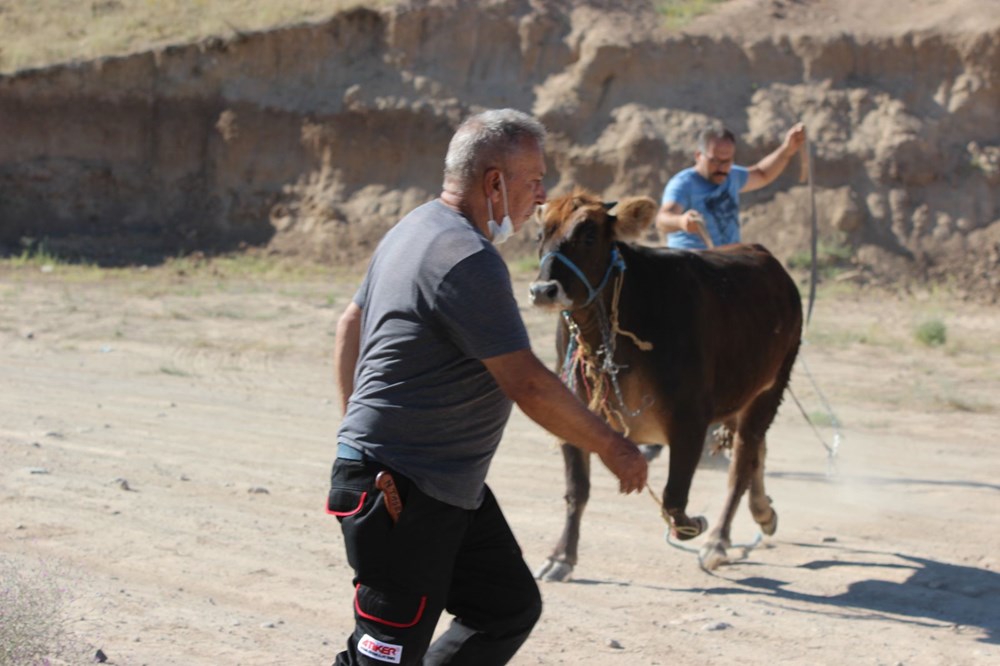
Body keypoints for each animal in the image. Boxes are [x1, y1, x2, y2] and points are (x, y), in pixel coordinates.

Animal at [532, 189, 804, 572]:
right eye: (540, 235)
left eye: (588, 235)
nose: (543, 289)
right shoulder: (570, 410)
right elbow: (577, 491)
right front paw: (561, 557)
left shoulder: (690, 419)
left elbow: (674, 499)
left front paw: (696, 526)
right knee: (756, 452)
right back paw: (763, 513)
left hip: (770, 388)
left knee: (741, 464)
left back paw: (718, 539)